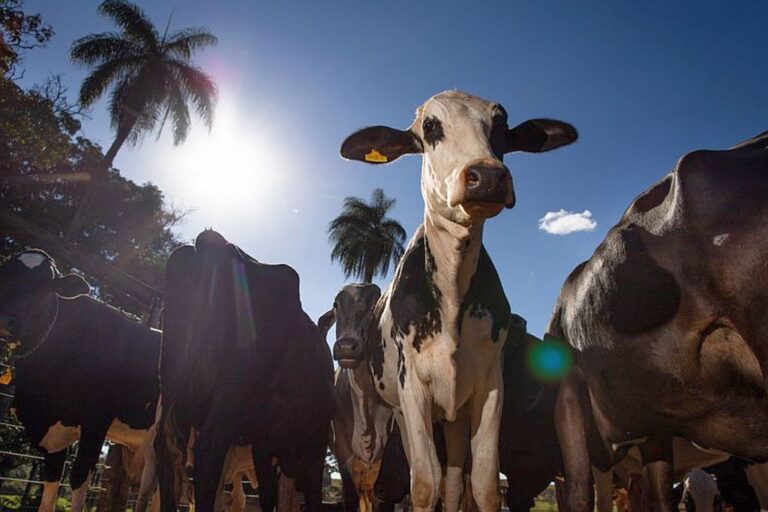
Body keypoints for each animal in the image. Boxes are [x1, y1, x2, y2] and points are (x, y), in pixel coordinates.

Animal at [0, 249, 159, 512]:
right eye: (4, 275)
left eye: (45, 285)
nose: (5, 318)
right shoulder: (53, 434)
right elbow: (50, 486)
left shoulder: (96, 420)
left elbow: (78, 476)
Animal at [155, 229, 335, 512]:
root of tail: (214, 243)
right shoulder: (312, 444)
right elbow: (309, 497)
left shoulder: (263, 445)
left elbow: (268, 497)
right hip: (231, 394)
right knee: (208, 450)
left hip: (173, 385)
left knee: (166, 450)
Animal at [337, 90, 577, 512]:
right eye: (431, 126)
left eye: (501, 126)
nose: (488, 176)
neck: (451, 295)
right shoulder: (413, 390)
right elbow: (423, 484)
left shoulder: (489, 387)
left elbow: (481, 484)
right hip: (396, 412)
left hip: (455, 416)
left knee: (453, 481)